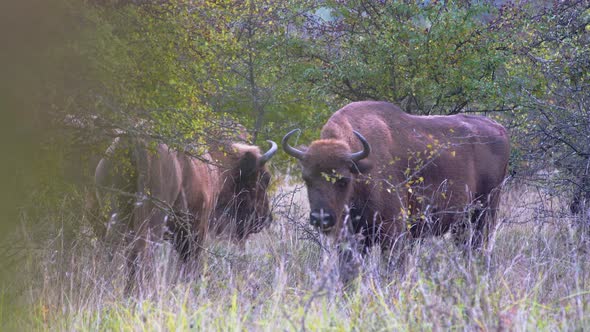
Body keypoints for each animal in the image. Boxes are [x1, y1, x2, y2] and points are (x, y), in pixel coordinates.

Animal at [284, 101, 512, 282]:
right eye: (306, 178)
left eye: (343, 180)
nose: (321, 218)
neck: (361, 167)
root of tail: (499, 128)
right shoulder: (350, 238)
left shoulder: (393, 232)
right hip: (463, 223)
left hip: (485, 213)